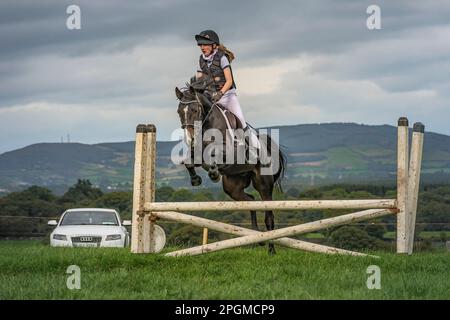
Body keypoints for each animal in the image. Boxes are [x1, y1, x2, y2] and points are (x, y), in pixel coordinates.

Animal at [174, 82, 286, 255]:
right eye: (179, 111)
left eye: (194, 110)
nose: (190, 138)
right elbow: (190, 162)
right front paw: (196, 179)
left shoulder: (230, 153)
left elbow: (215, 155)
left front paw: (214, 173)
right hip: (233, 187)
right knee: (251, 201)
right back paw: (257, 236)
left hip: (263, 184)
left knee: (269, 216)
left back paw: (271, 250)